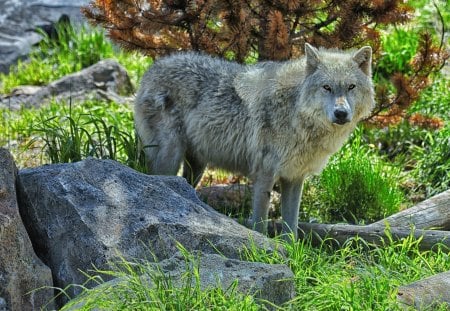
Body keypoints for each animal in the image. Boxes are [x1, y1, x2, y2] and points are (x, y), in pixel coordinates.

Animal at [135, 43, 374, 239]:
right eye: (327, 87)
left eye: (351, 87)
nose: (341, 113)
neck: (295, 113)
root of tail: (151, 69)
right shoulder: (264, 175)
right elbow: (260, 222)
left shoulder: (294, 178)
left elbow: (292, 228)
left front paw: (291, 253)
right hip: (170, 158)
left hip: (196, 168)